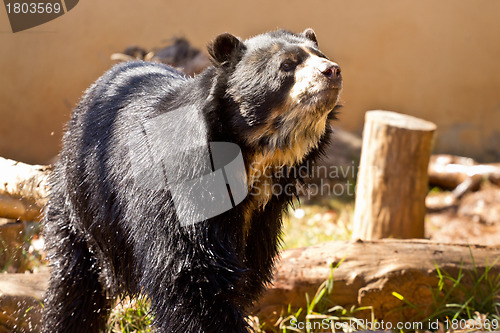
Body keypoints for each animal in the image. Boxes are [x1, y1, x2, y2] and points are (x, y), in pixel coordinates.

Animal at [43, 29, 342, 332]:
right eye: (287, 65)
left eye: (321, 55)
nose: (332, 70)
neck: (254, 160)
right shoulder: (181, 190)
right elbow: (191, 275)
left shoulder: (261, 220)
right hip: (83, 202)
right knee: (75, 284)